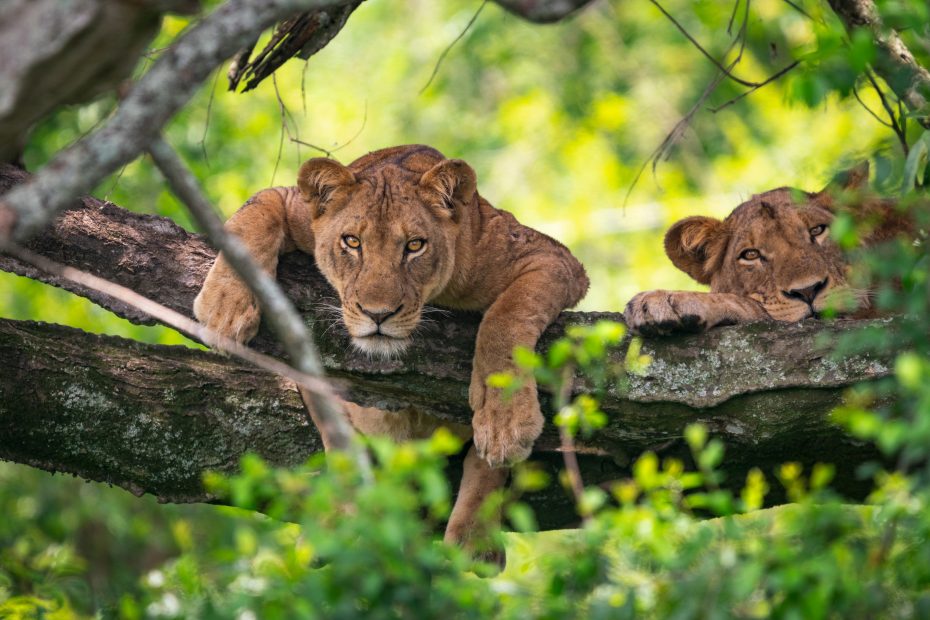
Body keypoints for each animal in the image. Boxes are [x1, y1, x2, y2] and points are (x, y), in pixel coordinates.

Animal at [194, 144, 589, 557]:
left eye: (415, 245)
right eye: (352, 242)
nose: (378, 314)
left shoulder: (549, 257)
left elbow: (505, 317)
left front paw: (506, 422)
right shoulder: (294, 205)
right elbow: (255, 210)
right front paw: (223, 307)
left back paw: (474, 539)